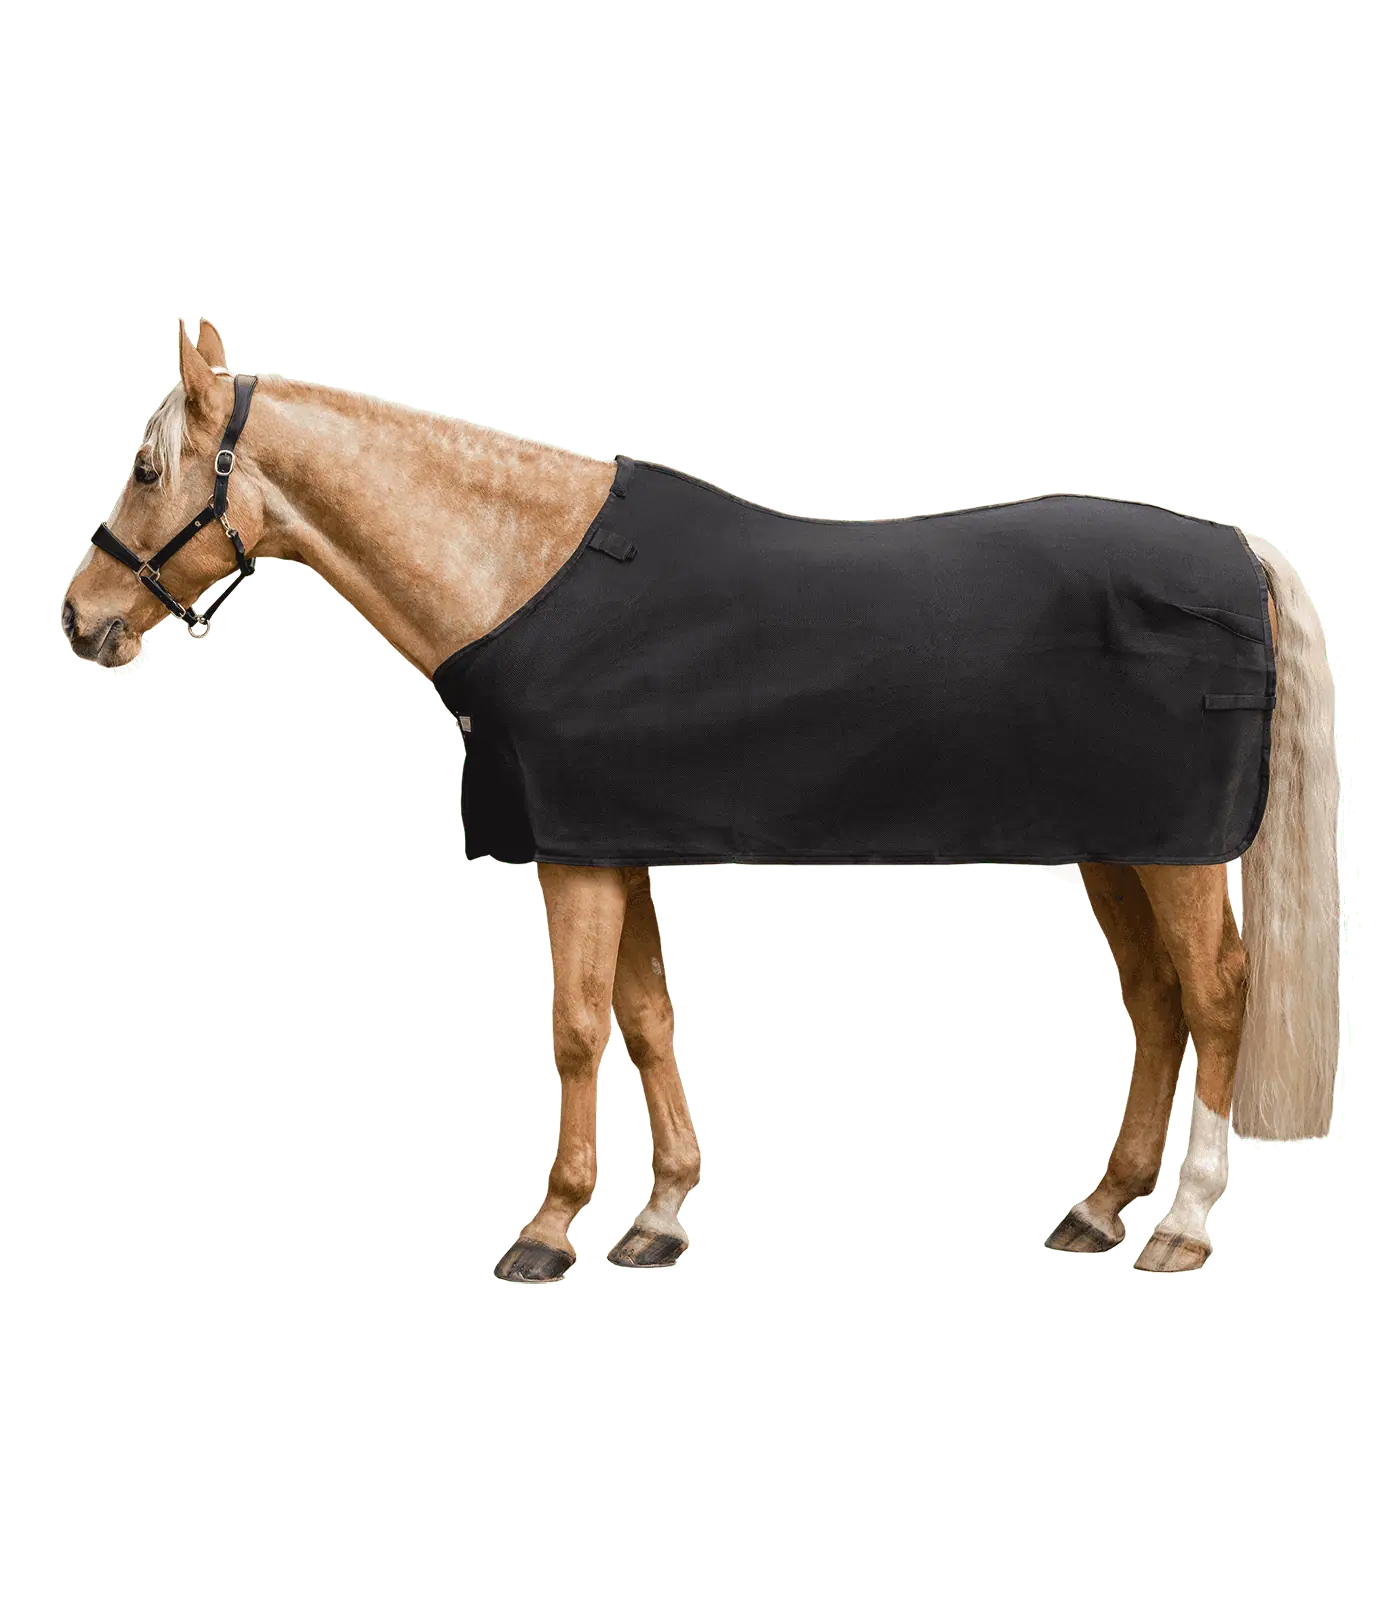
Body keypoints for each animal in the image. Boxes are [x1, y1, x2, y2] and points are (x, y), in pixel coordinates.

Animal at [61, 318, 1342, 1281]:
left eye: (146, 469)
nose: (81, 618)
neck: (523, 576)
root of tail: (1239, 553)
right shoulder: (608, 838)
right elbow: (644, 1019)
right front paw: (657, 1217)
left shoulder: (572, 850)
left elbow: (577, 1027)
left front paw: (549, 1228)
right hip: (1116, 845)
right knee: (1154, 1002)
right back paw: (1099, 1207)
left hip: (1173, 854)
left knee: (1214, 999)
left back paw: (1181, 1223)